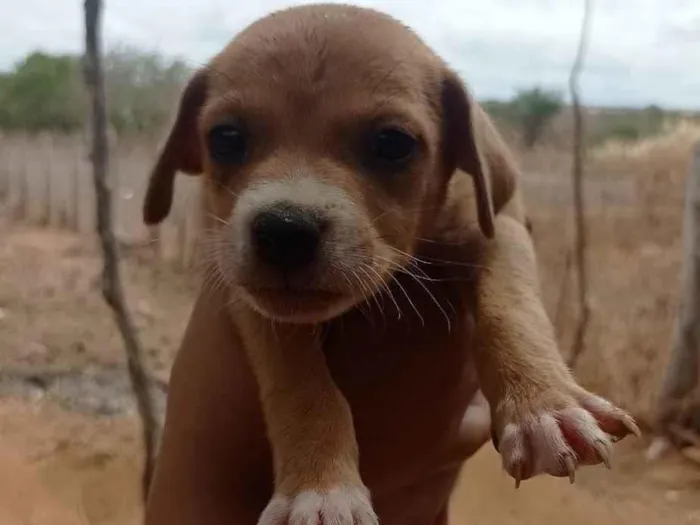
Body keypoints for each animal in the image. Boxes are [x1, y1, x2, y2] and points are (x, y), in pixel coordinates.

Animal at [142, 5, 640, 524]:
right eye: (226, 139)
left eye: (393, 143)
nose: (283, 230)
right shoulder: (251, 303)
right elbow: (300, 383)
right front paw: (321, 489)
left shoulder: (498, 228)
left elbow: (513, 309)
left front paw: (545, 407)